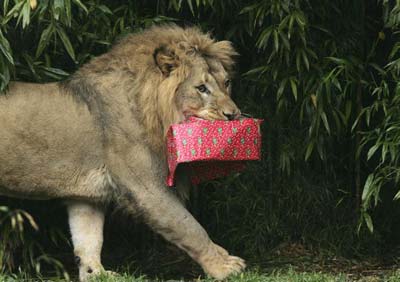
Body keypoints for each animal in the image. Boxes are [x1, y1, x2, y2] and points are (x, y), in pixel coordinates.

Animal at [0, 25, 244, 280]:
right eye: (201, 88)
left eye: (227, 82)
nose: (233, 114)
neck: (156, 115)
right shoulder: (147, 188)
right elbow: (189, 226)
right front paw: (224, 266)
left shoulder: (87, 197)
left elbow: (88, 238)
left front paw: (96, 274)